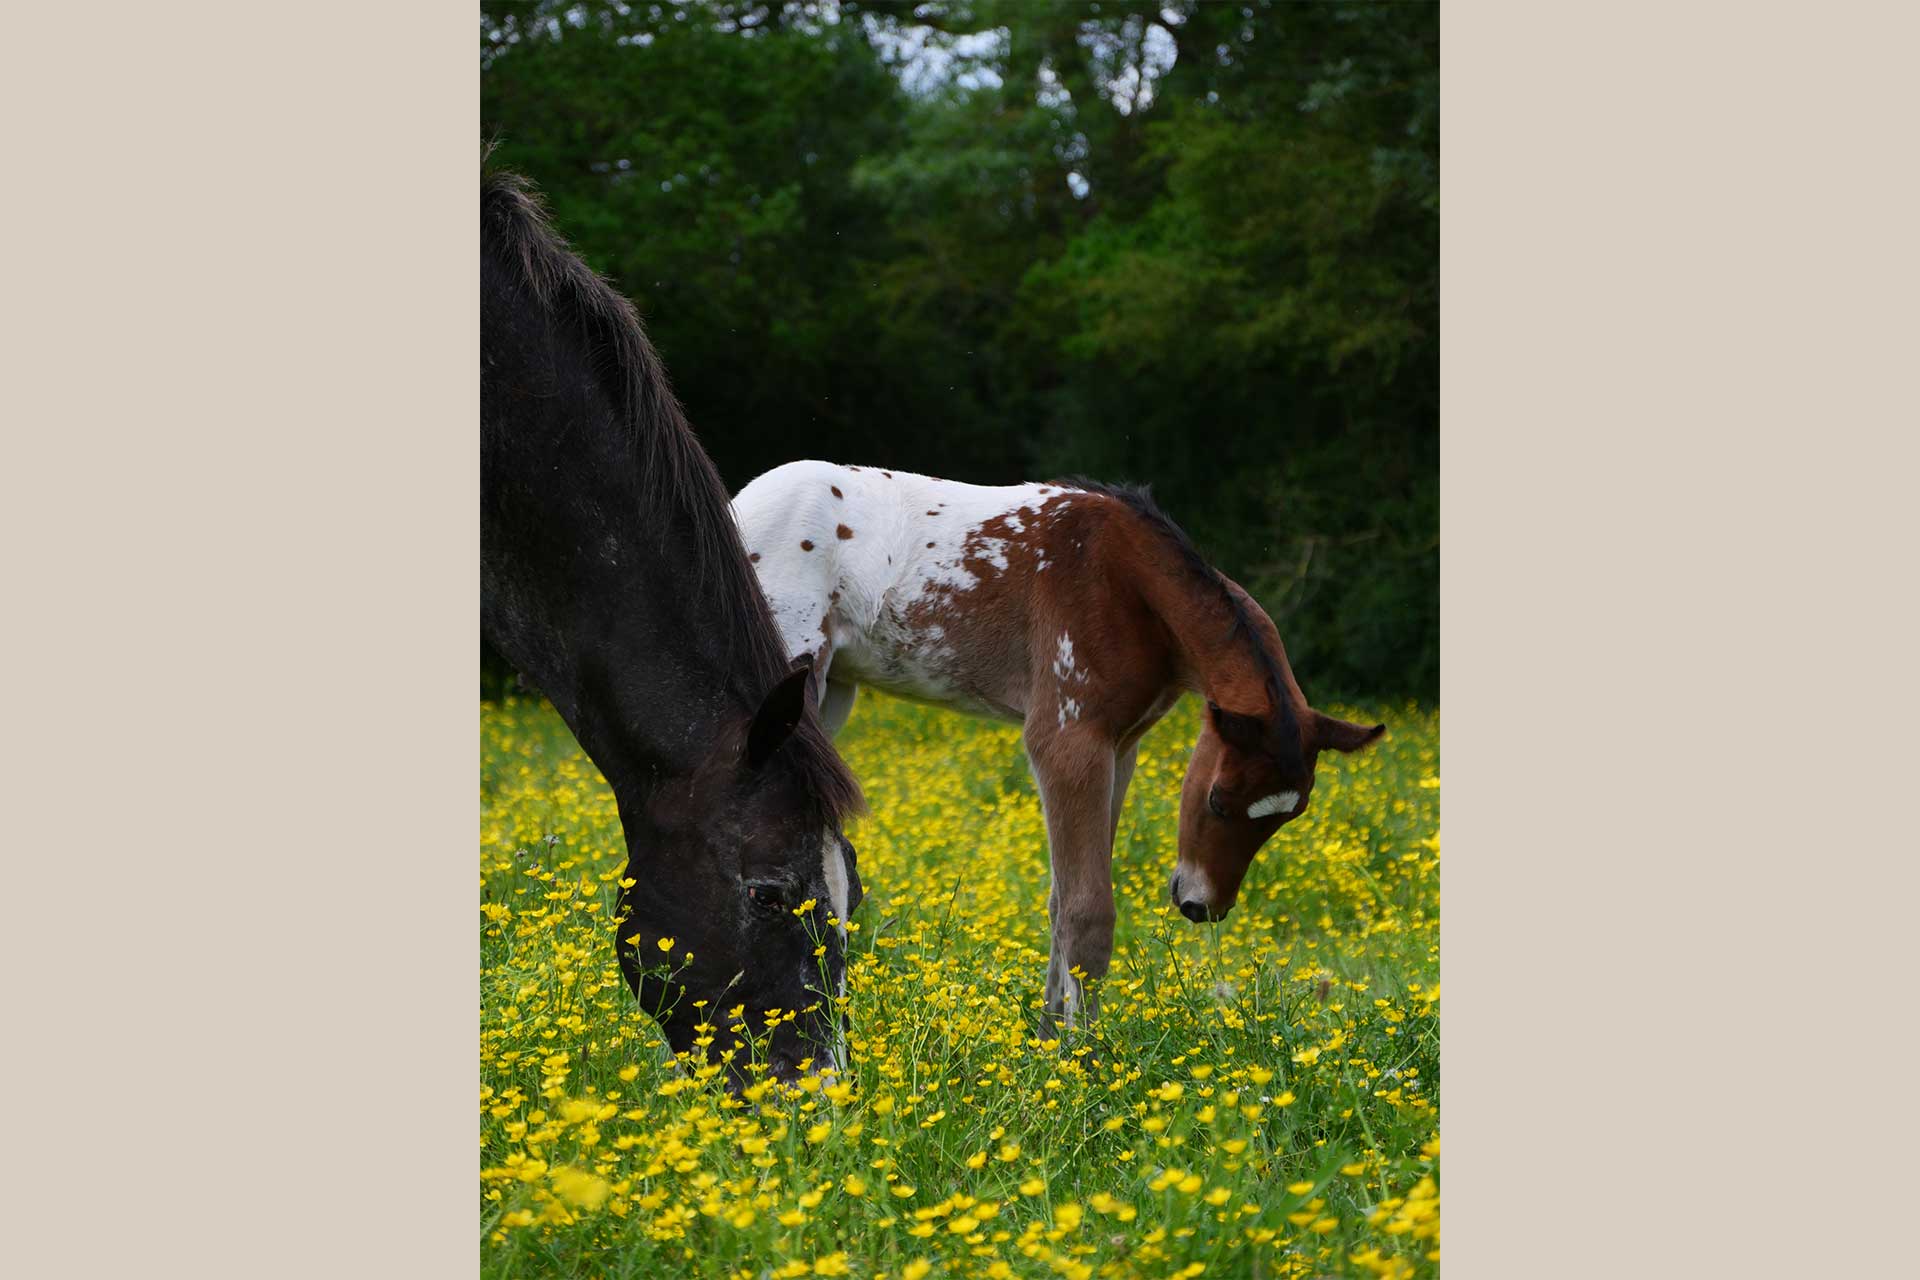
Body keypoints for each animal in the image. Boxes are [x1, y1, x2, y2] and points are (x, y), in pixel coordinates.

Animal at [729, 462, 1382, 1028]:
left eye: (1289, 817)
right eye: (1218, 800)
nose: (1202, 906)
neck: (1129, 585)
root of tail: (739, 503)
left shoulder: (1120, 747)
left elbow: (1061, 901)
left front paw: (1048, 1043)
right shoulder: (1066, 738)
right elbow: (1089, 909)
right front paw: (1079, 1067)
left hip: (831, 694)